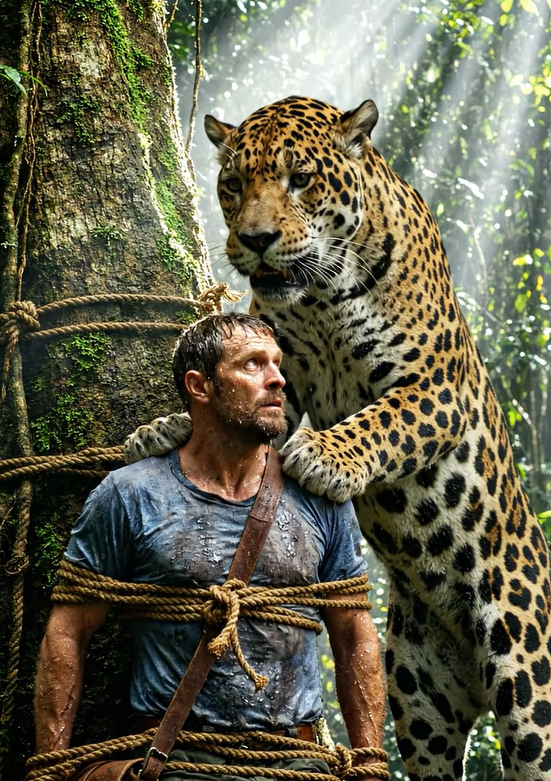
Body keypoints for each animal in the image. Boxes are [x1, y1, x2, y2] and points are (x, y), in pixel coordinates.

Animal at [125, 96, 551, 780]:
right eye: (233, 184)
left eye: (300, 180)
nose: (256, 240)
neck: (323, 295)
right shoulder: (282, 371)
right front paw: (163, 428)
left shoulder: (436, 386)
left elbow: (385, 420)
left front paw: (323, 455)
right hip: (421, 705)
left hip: (530, 685)